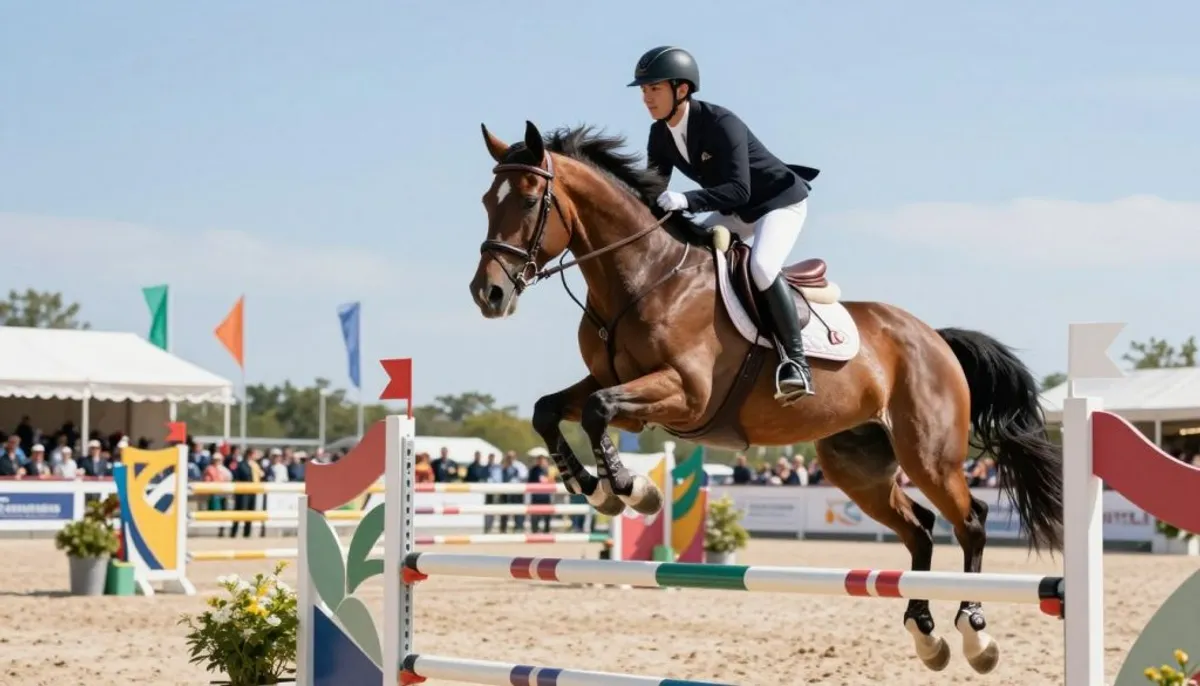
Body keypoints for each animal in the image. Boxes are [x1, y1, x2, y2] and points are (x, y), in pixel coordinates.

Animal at [467, 120, 1063, 675]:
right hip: (857, 466)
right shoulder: (609, 382)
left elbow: (598, 412)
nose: (487, 294)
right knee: (919, 529)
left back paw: (975, 634)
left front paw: (634, 491)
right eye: (486, 201)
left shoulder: (686, 395)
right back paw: (926, 636)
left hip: (929, 455)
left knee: (971, 520)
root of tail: (935, 338)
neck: (643, 277)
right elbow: (552, 410)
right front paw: (595, 489)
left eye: (528, 200)